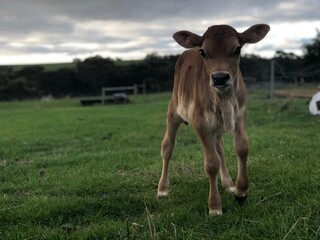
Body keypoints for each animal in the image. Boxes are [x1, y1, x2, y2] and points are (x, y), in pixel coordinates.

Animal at [158, 23, 270, 216]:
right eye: (203, 52)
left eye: (237, 49)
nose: (219, 77)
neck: (223, 99)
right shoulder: (200, 121)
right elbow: (211, 163)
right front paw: (215, 206)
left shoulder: (240, 113)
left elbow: (241, 148)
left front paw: (241, 191)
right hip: (173, 111)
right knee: (168, 146)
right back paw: (163, 189)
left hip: (217, 126)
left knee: (220, 148)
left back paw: (228, 183)